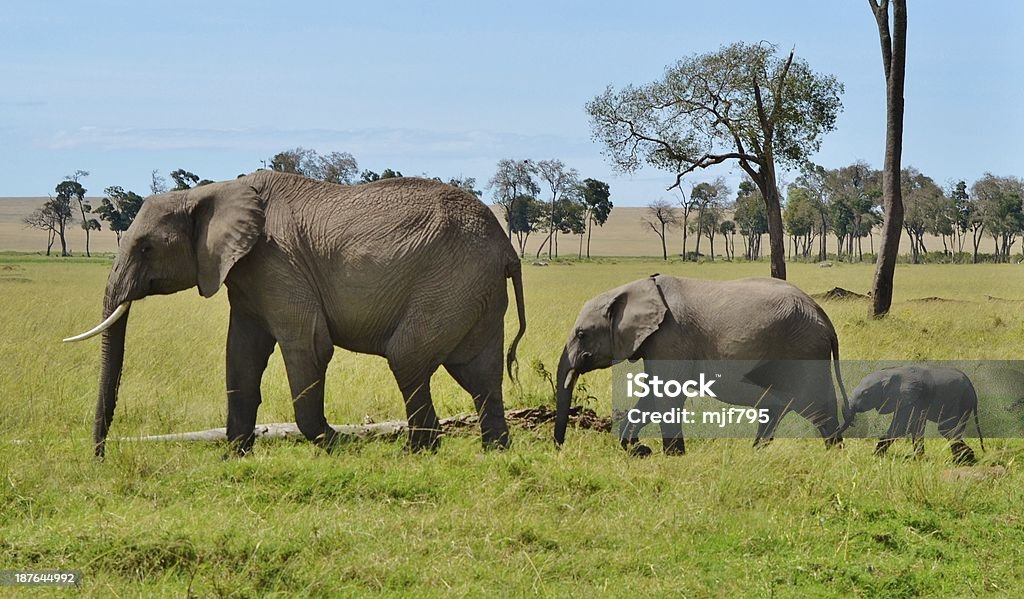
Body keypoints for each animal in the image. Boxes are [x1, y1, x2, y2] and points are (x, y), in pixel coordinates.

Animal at [68, 170, 524, 454]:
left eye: (146, 247)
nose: (100, 456)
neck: (213, 192)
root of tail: (507, 248)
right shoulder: (247, 276)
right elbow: (241, 355)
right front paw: (235, 456)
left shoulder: (278, 262)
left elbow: (309, 345)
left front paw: (336, 443)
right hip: (474, 291)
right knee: (480, 373)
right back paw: (494, 450)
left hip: (450, 282)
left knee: (408, 357)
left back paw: (418, 452)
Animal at [552, 274, 847, 452]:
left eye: (581, 334)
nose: (559, 447)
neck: (635, 287)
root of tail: (826, 321)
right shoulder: (657, 343)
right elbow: (654, 395)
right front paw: (638, 450)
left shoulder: (670, 337)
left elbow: (666, 394)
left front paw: (671, 455)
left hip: (801, 351)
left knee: (813, 406)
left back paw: (831, 454)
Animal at [835, 362, 987, 464]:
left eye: (865, 393)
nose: (841, 446)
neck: (890, 373)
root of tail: (973, 391)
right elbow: (914, 426)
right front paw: (918, 459)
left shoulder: (911, 398)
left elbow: (901, 427)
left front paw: (875, 455)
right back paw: (966, 459)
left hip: (959, 401)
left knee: (946, 429)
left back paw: (963, 460)